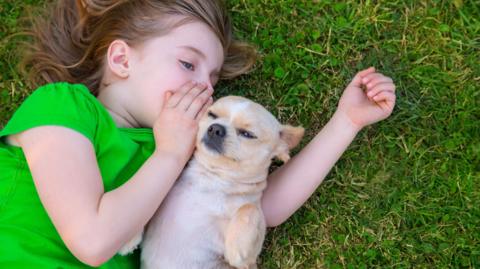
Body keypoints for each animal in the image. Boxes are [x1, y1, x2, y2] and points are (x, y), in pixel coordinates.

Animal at [123, 96, 304, 268]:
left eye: (247, 134)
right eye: (212, 115)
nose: (216, 128)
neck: (212, 178)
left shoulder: (248, 262)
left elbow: (249, 207)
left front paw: (237, 246)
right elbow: (145, 205)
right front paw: (129, 237)